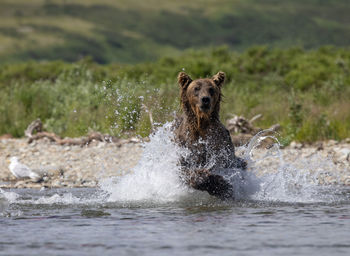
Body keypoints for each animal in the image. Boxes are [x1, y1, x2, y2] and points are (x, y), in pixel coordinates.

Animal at [174, 71, 246, 199]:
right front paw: (215, 182)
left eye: (211, 89)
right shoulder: (185, 144)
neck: (201, 124)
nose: (205, 99)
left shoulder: (219, 143)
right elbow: (184, 171)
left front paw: (222, 186)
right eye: (196, 88)